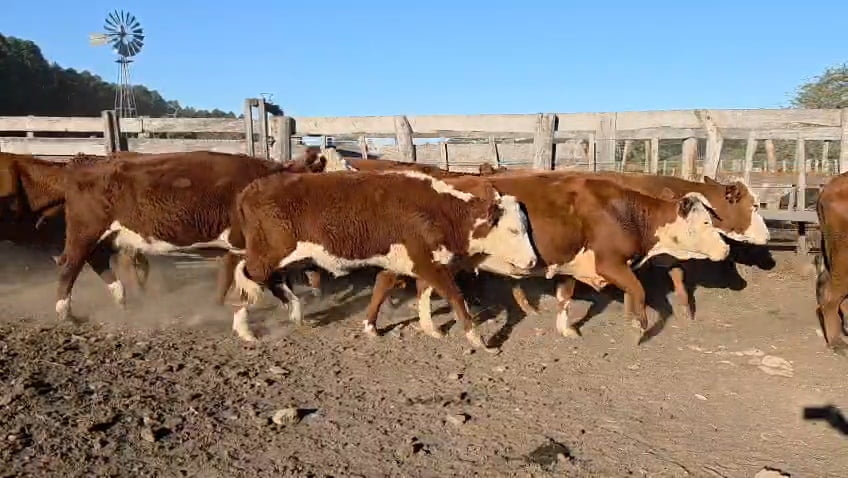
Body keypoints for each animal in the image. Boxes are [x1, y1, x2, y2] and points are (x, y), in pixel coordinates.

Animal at [54, 149, 326, 321]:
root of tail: (87, 160)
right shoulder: (243, 243)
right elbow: (237, 276)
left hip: (109, 236)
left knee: (97, 260)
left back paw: (120, 296)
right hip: (85, 231)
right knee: (70, 265)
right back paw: (65, 311)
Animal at [230, 169, 537, 352]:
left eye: (527, 227)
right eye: (513, 230)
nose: (533, 261)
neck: (440, 210)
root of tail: (251, 189)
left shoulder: (410, 262)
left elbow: (395, 288)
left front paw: (418, 328)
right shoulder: (427, 262)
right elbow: (454, 295)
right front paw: (478, 339)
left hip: (283, 259)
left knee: (272, 282)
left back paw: (295, 312)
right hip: (266, 256)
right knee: (245, 282)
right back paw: (245, 330)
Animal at [356, 173, 731, 341]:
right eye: (705, 222)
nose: (726, 249)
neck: (622, 211)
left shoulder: (569, 264)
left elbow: (565, 296)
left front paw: (567, 329)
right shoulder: (609, 263)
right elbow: (638, 291)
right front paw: (639, 327)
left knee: (422, 286)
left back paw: (429, 327)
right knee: (386, 279)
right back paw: (372, 325)